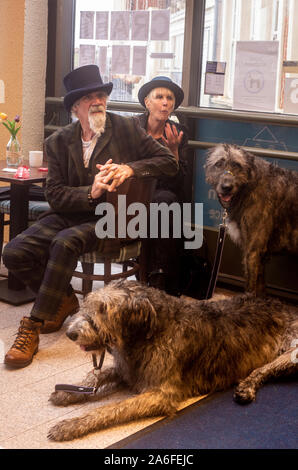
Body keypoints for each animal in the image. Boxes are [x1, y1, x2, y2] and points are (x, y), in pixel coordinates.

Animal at [47, 280, 296, 442]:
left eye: (104, 309)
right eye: (90, 304)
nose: (70, 333)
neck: (150, 332)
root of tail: (283, 305)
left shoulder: (161, 394)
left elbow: (112, 408)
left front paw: (70, 425)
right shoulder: (128, 368)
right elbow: (96, 375)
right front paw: (67, 392)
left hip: (292, 351)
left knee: (266, 369)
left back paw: (247, 387)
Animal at [205, 143, 298, 296]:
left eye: (237, 164)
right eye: (218, 163)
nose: (226, 187)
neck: (250, 185)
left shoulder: (253, 252)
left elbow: (250, 289)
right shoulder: (260, 257)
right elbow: (260, 289)